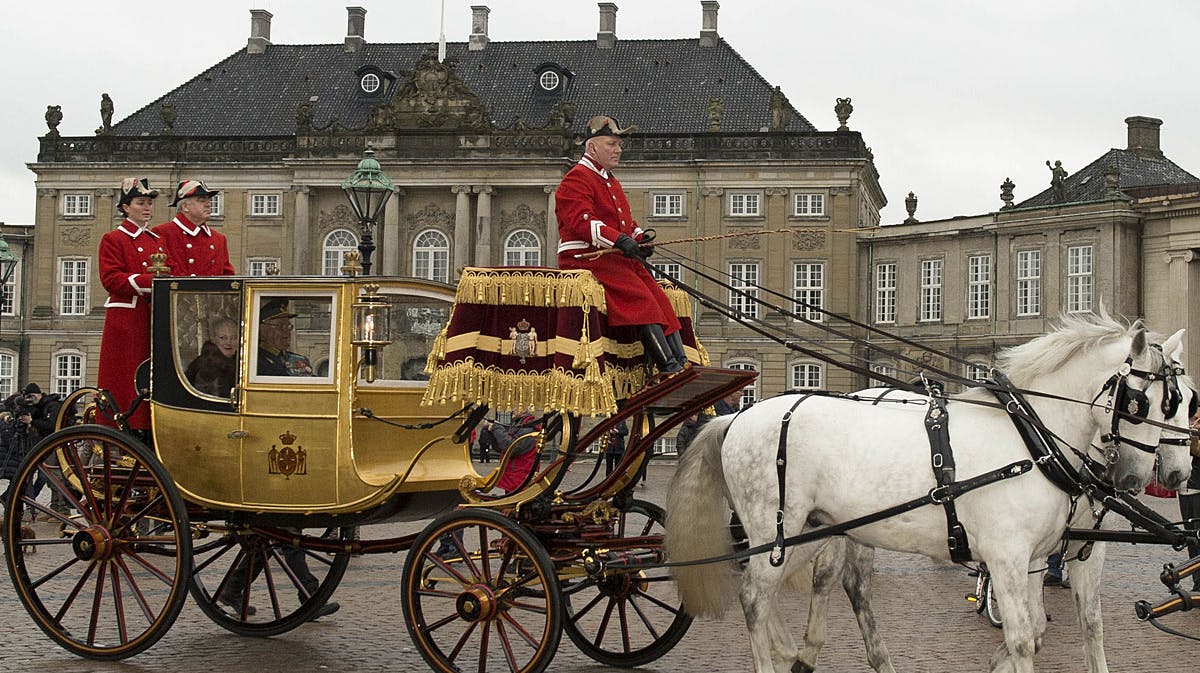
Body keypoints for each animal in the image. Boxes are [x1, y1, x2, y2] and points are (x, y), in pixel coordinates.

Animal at [667, 314, 1180, 671]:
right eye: (1140, 403)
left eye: (1177, 404)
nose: (1139, 478)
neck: (1030, 440)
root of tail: (737, 416)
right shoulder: (1008, 557)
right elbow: (1022, 639)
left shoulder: (1049, 553)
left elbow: (1070, 628)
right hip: (776, 529)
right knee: (755, 596)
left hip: (808, 531)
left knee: (781, 588)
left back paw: (798, 651)